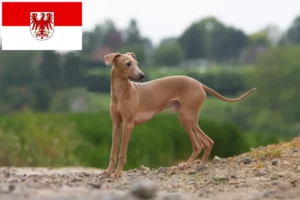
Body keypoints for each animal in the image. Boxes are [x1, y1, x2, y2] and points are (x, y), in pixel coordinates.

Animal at [101, 52, 255, 178]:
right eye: (128, 63)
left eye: (137, 63)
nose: (142, 75)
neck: (121, 94)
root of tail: (200, 84)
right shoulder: (116, 125)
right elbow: (113, 152)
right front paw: (108, 172)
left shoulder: (128, 124)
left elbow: (122, 153)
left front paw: (117, 173)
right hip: (191, 120)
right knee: (208, 142)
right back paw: (201, 164)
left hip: (185, 118)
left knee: (198, 144)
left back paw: (188, 164)